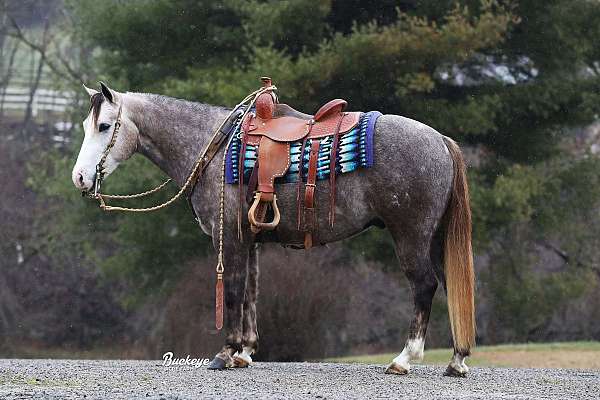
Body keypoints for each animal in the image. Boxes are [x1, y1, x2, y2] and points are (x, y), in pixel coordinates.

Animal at [71, 83, 474, 376]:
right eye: (86, 126)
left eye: (104, 126)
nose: (79, 177)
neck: (215, 147)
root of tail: (441, 141)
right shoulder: (250, 241)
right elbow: (251, 292)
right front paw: (245, 352)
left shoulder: (230, 238)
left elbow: (233, 291)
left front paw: (226, 352)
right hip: (434, 239)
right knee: (448, 284)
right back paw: (456, 360)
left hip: (411, 236)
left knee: (424, 286)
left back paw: (404, 359)